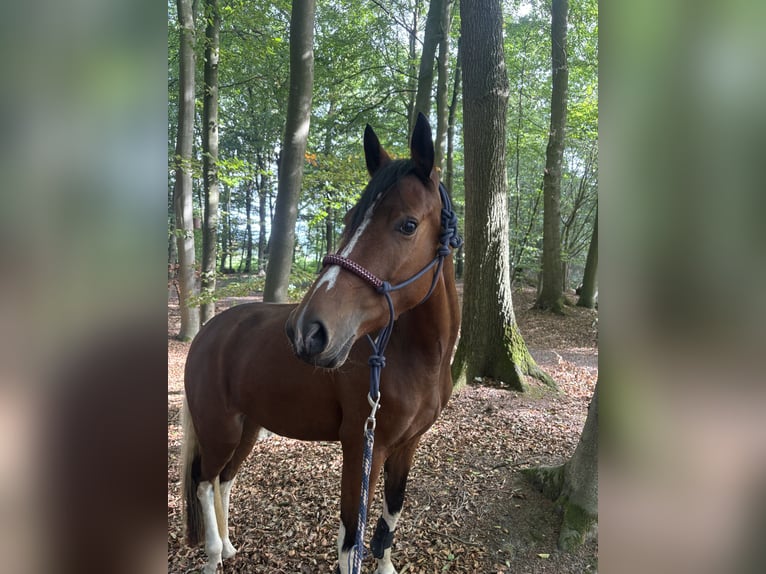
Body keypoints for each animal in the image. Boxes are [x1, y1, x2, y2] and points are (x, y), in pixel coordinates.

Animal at [181, 113, 461, 574]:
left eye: (408, 224)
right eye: (348, 218)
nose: (306, 330)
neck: (415, 359)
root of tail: (207, 332)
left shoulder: (407, 447)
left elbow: (390, 516)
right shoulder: (362, 448)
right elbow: (351, 541)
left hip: (247, 427)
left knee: (224, 479)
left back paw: (229, 546)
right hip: (219, 428)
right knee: (204, 481)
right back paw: (213, 554)